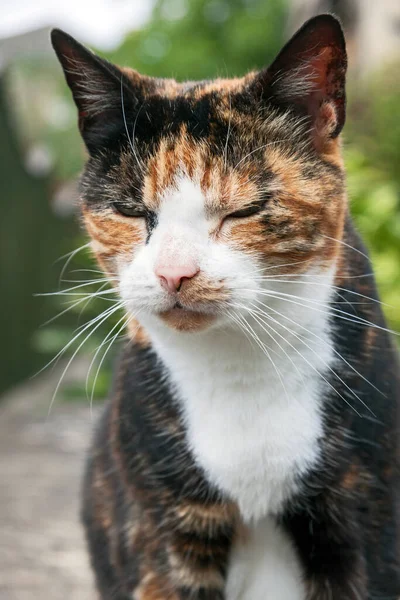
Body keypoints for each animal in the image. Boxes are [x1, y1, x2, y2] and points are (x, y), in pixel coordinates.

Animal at [50, 14, 400, 600]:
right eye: (131, 211)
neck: (237, 369)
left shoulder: (362, 522)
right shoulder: (164, 533)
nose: (174, 272)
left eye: (243, 211)